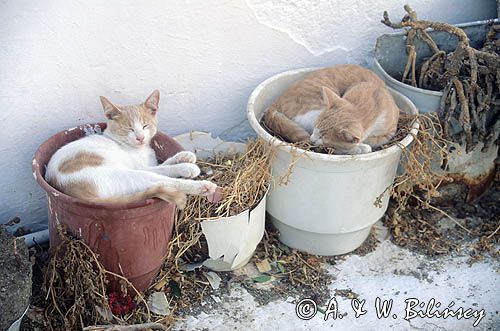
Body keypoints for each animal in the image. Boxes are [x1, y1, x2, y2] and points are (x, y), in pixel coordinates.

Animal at [46, 90, 218, 210]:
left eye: (145, 125)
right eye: (129, 128)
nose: (140, 137)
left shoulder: (149, 164)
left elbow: (164, 164)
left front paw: (184, 156)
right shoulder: (141, 167)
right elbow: (165, 169)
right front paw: (187, 166)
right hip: (125, 174)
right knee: (163, 181)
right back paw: (203, 186)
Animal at [262, 64, 398, 155]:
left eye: (323, 137)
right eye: (315, 128)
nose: (313, 138)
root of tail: (274, 104)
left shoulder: (390, 131)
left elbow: (378, 139)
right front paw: (360, 146)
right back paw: (361, 149)